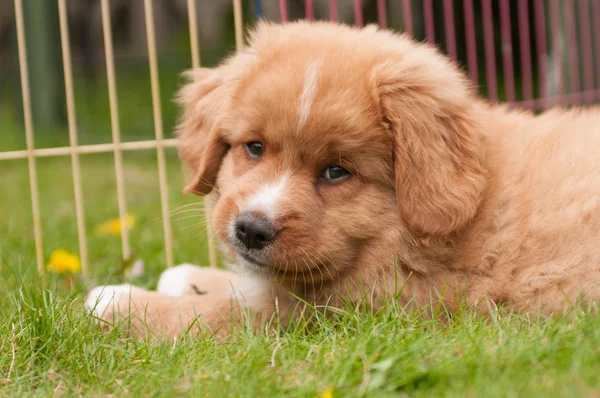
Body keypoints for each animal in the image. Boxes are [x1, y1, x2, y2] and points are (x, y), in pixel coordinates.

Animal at [86, 21, 600, 338]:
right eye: (254, 147)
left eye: (337, 172)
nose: (250, 230)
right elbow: (244, 284)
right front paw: (186, 276)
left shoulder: (342, 315)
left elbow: (226, 312)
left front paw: (117, 303)